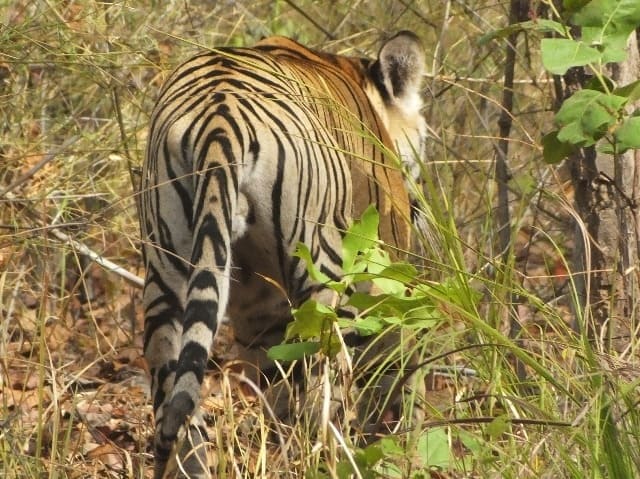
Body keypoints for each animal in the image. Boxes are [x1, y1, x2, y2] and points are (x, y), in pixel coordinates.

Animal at [139, 31, 427, 478]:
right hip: (323, 273)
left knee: (175, 388)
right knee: (325, 391)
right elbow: (402, 357)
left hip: (168, 269)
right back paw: (330, 458)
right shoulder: (382, 272)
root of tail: (219, 119)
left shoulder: (260, 309)